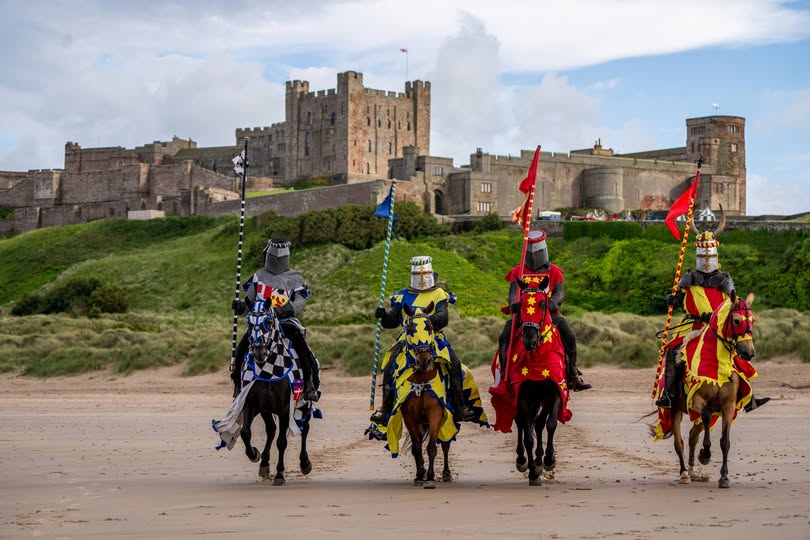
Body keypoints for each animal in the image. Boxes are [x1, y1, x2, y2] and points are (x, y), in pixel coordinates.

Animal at [235, 300, 310, 486]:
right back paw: (264, 464)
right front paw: (254, 454)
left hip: (305, 403)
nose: (259, 351)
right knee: (271, 429)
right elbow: (245, 432)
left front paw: (280, 474)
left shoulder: (284, 408)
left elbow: (282, 442)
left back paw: (305, 463)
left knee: (305, 428)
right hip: (266, 409)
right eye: (249, 323)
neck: (268, 369)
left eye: (268, 322)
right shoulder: (251, 403)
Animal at [400, 302, 454, 488]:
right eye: (410, 328)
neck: (422, 379)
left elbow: (431, 447)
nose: (424, 361)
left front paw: (430, 477)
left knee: (445, 445)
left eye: (429, 326)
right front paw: (419, 474)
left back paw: (446, 474)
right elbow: (416, 448)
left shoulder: (435, 413)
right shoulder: (409, 416)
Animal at [664, 292, 756, 490]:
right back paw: (684, 474)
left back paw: (691, 471)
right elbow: (706, 418)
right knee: (679, 443)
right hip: (675, 409)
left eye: (752, 320)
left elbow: (724, 442)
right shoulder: (697, 400)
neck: (716, 364)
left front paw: (724, 477)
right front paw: (705, 454)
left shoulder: (728, 407)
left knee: (692, 436)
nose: (748, 353)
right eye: (736, 320)